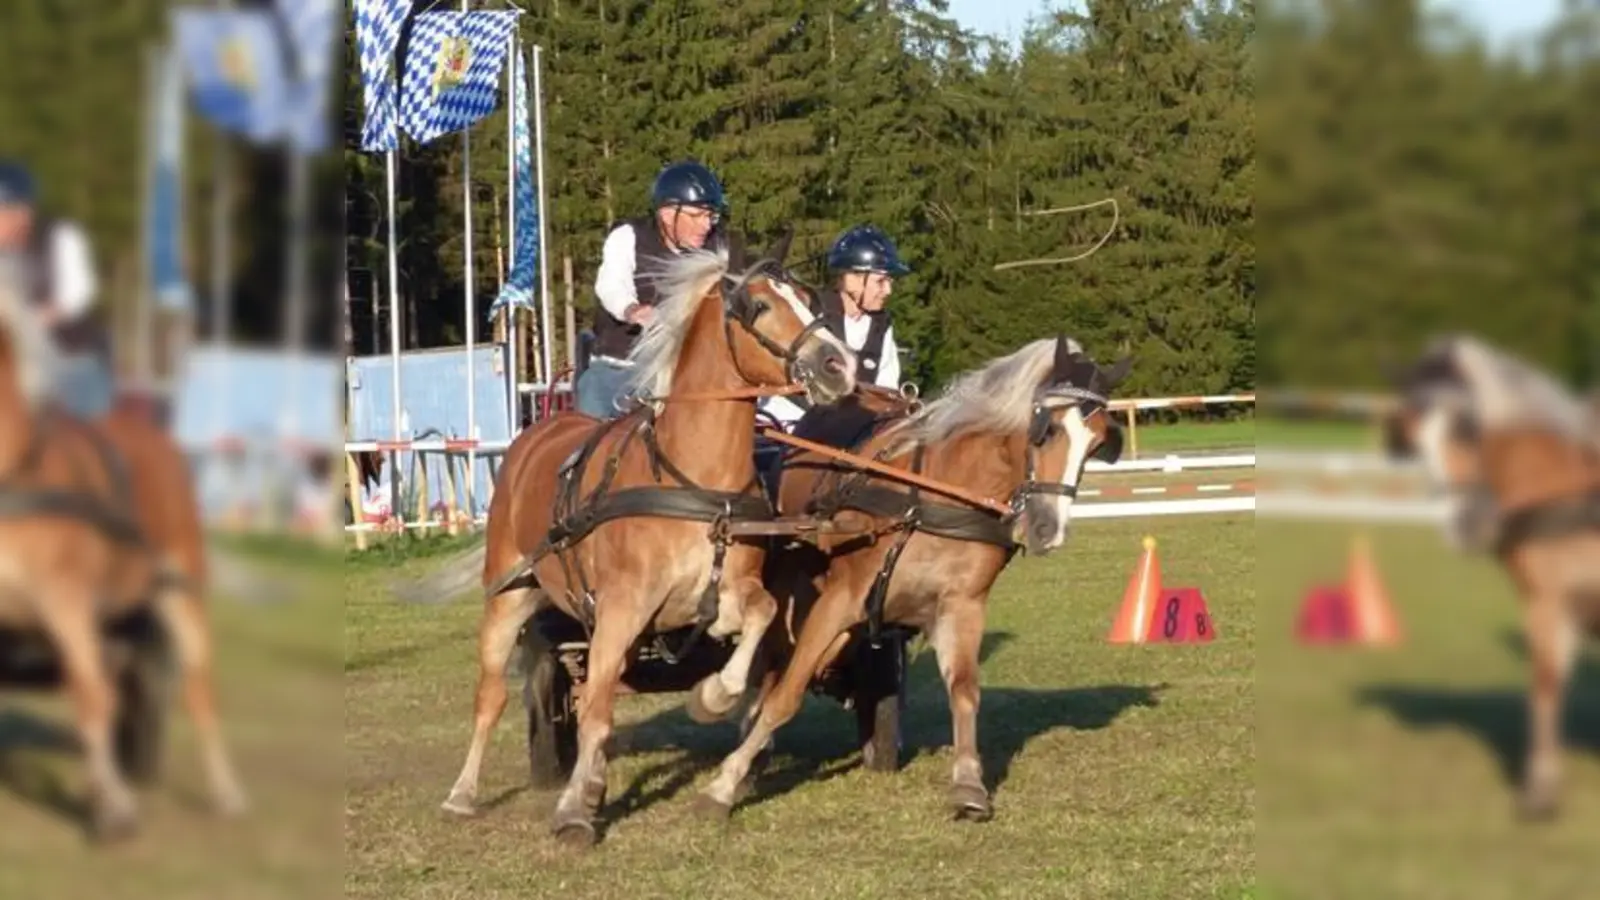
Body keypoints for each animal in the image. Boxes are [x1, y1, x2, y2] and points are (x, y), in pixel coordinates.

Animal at [0, 280, 246, 832]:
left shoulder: (66, 604)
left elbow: (90, 698)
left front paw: (114, 809)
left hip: (179, 590)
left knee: (194, 689)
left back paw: (223, 792)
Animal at [435, 238, 864, 839]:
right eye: (757, 306)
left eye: (807, 297)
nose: (839, 365)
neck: (691, 479)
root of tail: (537, 432)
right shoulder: (622, 607)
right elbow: (594, 711)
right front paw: (574, 809)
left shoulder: (717, 593)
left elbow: (758, 615)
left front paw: (713, 695)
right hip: (510, 596)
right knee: (493, 695)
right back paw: (463, 793)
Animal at [694, 333, 1132, 816]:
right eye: (1048, 429)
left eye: (1096, 445)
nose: (1047, 531)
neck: (931, 498)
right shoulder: (841, 598)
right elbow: (786, 694)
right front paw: (724, 782)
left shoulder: (961, 607)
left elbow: (964, 691)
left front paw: (968, 783)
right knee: (772, 660)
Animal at [1382, 333, 1600, 816]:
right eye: (1415, 431)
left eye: (1468, 426)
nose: (1464, 522)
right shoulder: (1562, 607)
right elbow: (1552, 684)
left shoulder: (1546, 601)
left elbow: (1543, 684)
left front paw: (1539, 793)